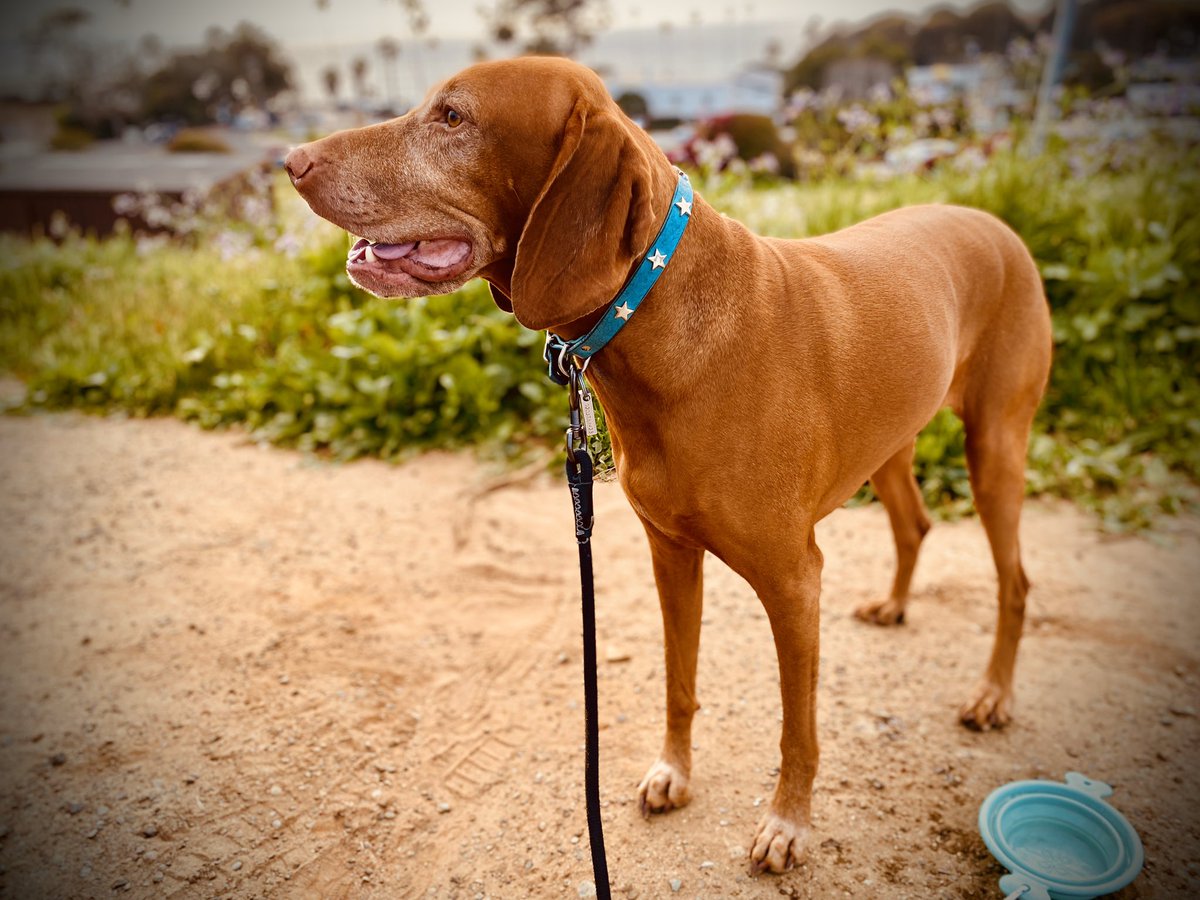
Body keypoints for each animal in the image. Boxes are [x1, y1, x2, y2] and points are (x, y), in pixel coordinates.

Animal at [280, 54, 1051, 873]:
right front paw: (674, 773)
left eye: (452, 117)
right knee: (915, 523)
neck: (661, 320)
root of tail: (995, 222)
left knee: (1015, 582)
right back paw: (898, 604)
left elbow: (798, 728)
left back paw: (992, 697)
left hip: (996, 448)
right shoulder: (671, 556)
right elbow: (679, 682)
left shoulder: (794, 583)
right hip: (894, 444)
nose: (291, 162)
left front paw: (788, 822)